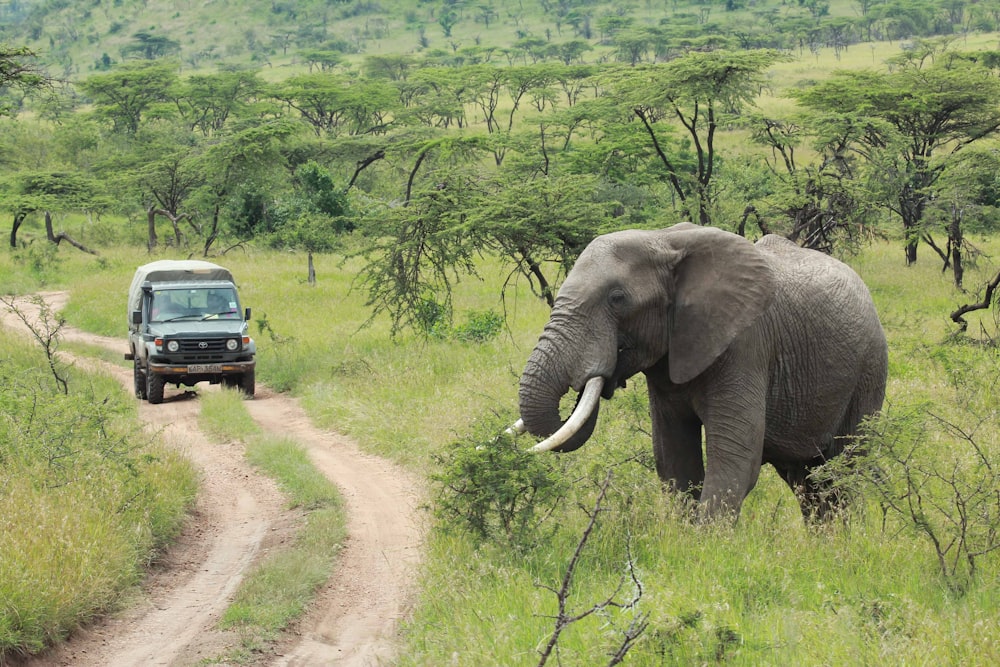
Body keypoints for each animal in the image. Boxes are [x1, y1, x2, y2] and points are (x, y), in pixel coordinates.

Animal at [512, 224, 888, 520]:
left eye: (617, 298)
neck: (662, 239)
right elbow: (674, 460)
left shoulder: (745, 345)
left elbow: (734, 461)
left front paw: (707, 548)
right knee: (807, 480)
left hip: (869, 371)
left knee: (843, 470)